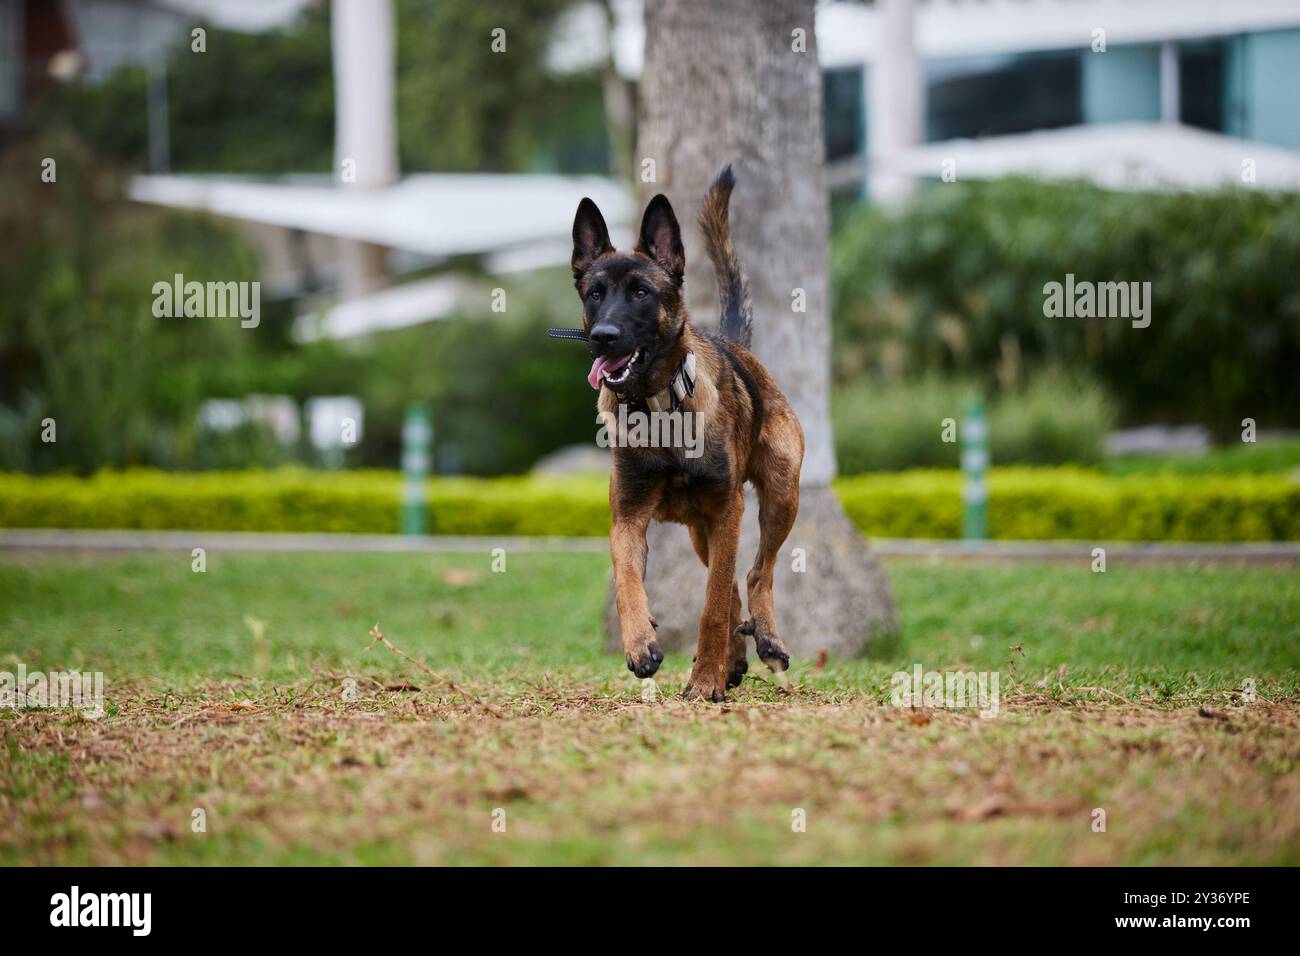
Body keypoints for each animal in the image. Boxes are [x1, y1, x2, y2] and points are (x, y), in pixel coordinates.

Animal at [569, 166, 800, 702]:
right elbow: (627, 581)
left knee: (756, 573)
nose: (603, 338)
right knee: (734, 584)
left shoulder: (727, 509)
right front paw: (641, 645)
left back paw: (766, 641)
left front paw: (705, 680)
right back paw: (735, 660)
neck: (660, 409)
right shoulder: (628, 517)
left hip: (779, 495)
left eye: (641, 293)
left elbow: (712, 607)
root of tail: (736, 343)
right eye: (595, 293)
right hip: (703, 531)